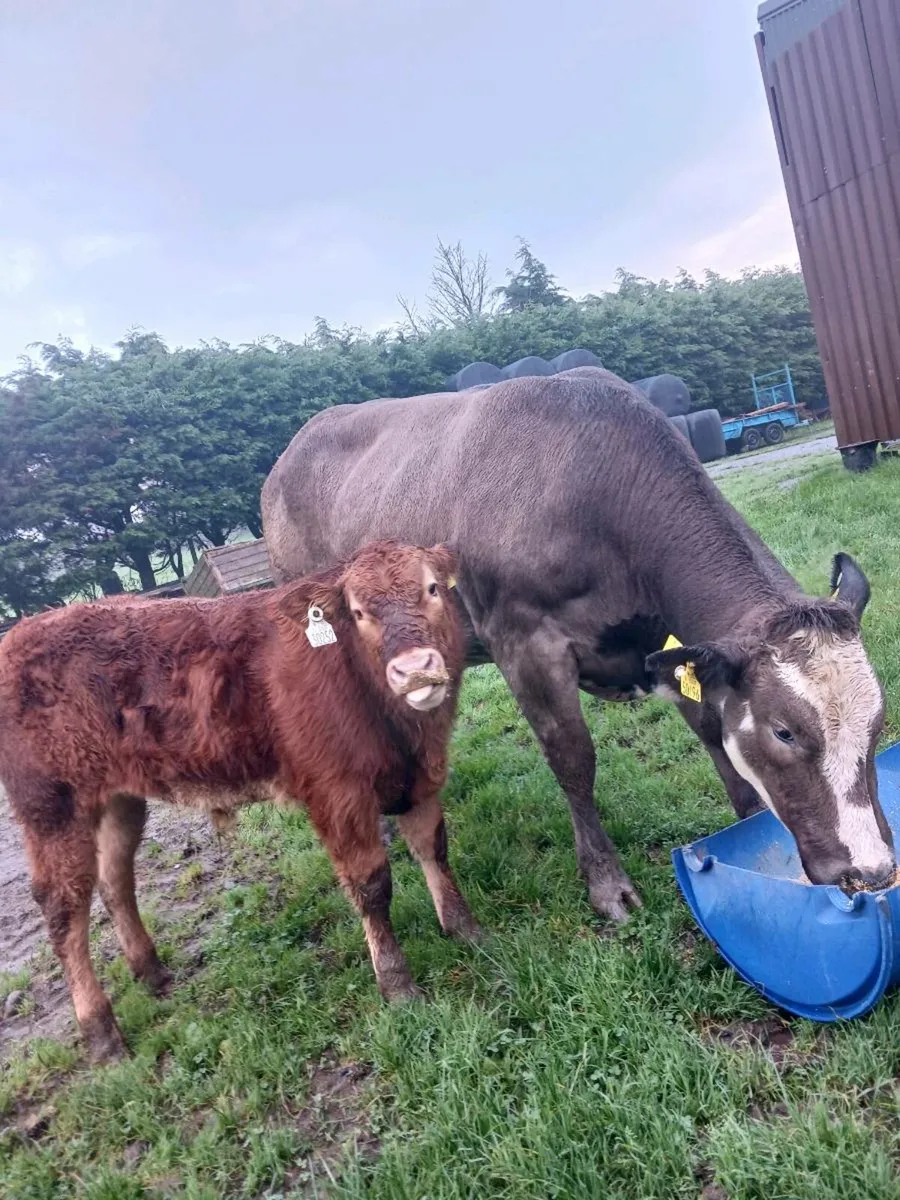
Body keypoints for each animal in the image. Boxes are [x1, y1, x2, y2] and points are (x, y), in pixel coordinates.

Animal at [0, 541, 478, 1063]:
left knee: (114, 880)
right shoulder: (337, 792)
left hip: (118, 798)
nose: (414, 670)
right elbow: (372, 885)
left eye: (432, 588)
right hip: (52, 807)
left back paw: (151, 971)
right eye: (358, 613)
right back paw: (102, 1035)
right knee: (63, 910)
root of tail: (22, 631)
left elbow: (434, 848)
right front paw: (397, 985)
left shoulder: (421, 776)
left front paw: (467, 931)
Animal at [261, 367, 896, 922]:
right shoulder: (525, 641)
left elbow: (712, 730)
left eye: (879, 720)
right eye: (784, 731)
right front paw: (607, 885)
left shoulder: (668, 641)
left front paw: (746, 823)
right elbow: (573, 758)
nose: (873, 871)